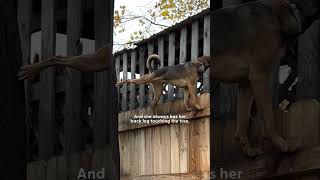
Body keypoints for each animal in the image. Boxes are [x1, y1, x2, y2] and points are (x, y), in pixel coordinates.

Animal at [212, 0, 320, 157]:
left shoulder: (246, 83)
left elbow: (243, 120)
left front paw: (248, 149)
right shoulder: (260, 75)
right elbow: (268, 116)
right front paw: (282, 143)